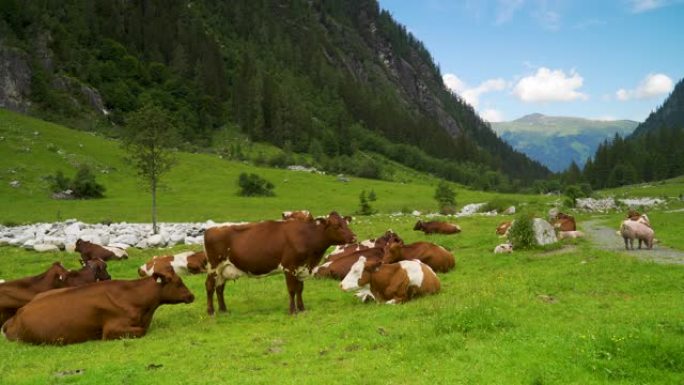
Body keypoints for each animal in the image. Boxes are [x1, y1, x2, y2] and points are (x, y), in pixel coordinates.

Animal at [203, 212, 356, 314]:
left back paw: (223, 310)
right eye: (336, 225)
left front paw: (302, 308)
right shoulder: (289, 267)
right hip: (214, 266)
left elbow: (300, 289)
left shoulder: (301, 268)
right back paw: (211, 311)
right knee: (210, 286)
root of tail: (211, 228)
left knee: (220, 288)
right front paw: (292, 310)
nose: (354, 237)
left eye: (346, 223)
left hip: (224, 269)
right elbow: (292, 290)